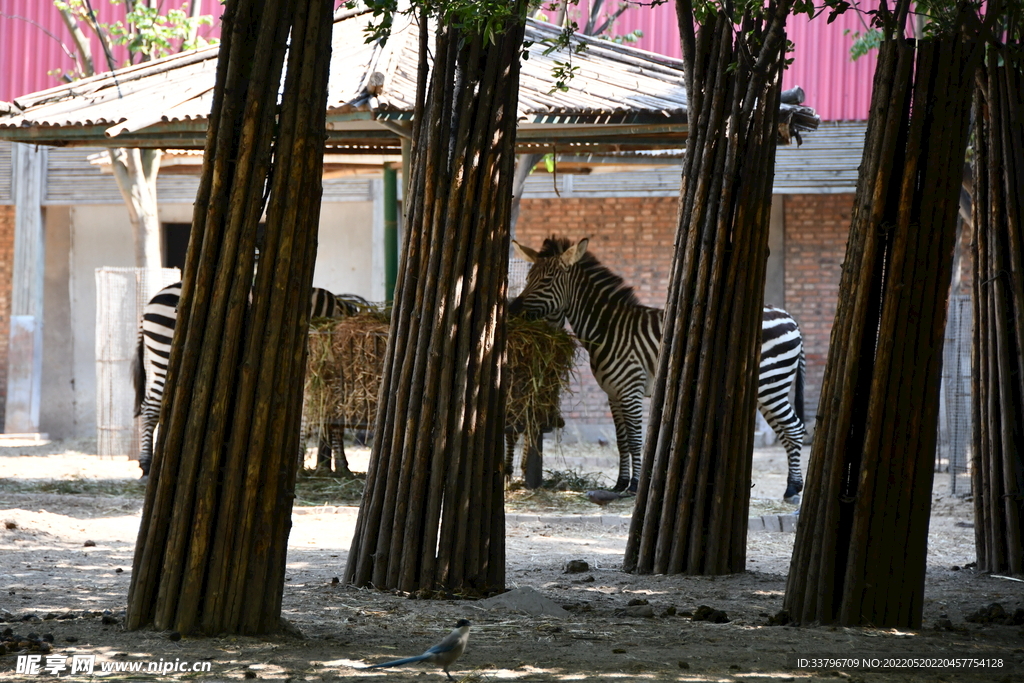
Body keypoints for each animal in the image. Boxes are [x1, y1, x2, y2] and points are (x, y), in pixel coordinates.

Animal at [129, 280, 368, 479]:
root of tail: (152, 301)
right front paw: (330, 464)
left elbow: (315, 419)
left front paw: (322, 464)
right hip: (165, 354)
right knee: (151, 407)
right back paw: (146, 465)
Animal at [505, 237, 806, 505]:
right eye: (529, 277)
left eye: (545, 281)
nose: (511, 310)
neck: (608, 329)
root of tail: (788, 315)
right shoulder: (613, 394)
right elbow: (621, 441)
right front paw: (619, 484)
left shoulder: (631, 389)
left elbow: (636, 440)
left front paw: (635, 486)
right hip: (767, 388)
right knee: (785, 431)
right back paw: (791, 488)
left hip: (771, 384)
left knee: (795, 429)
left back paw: (792, 490)